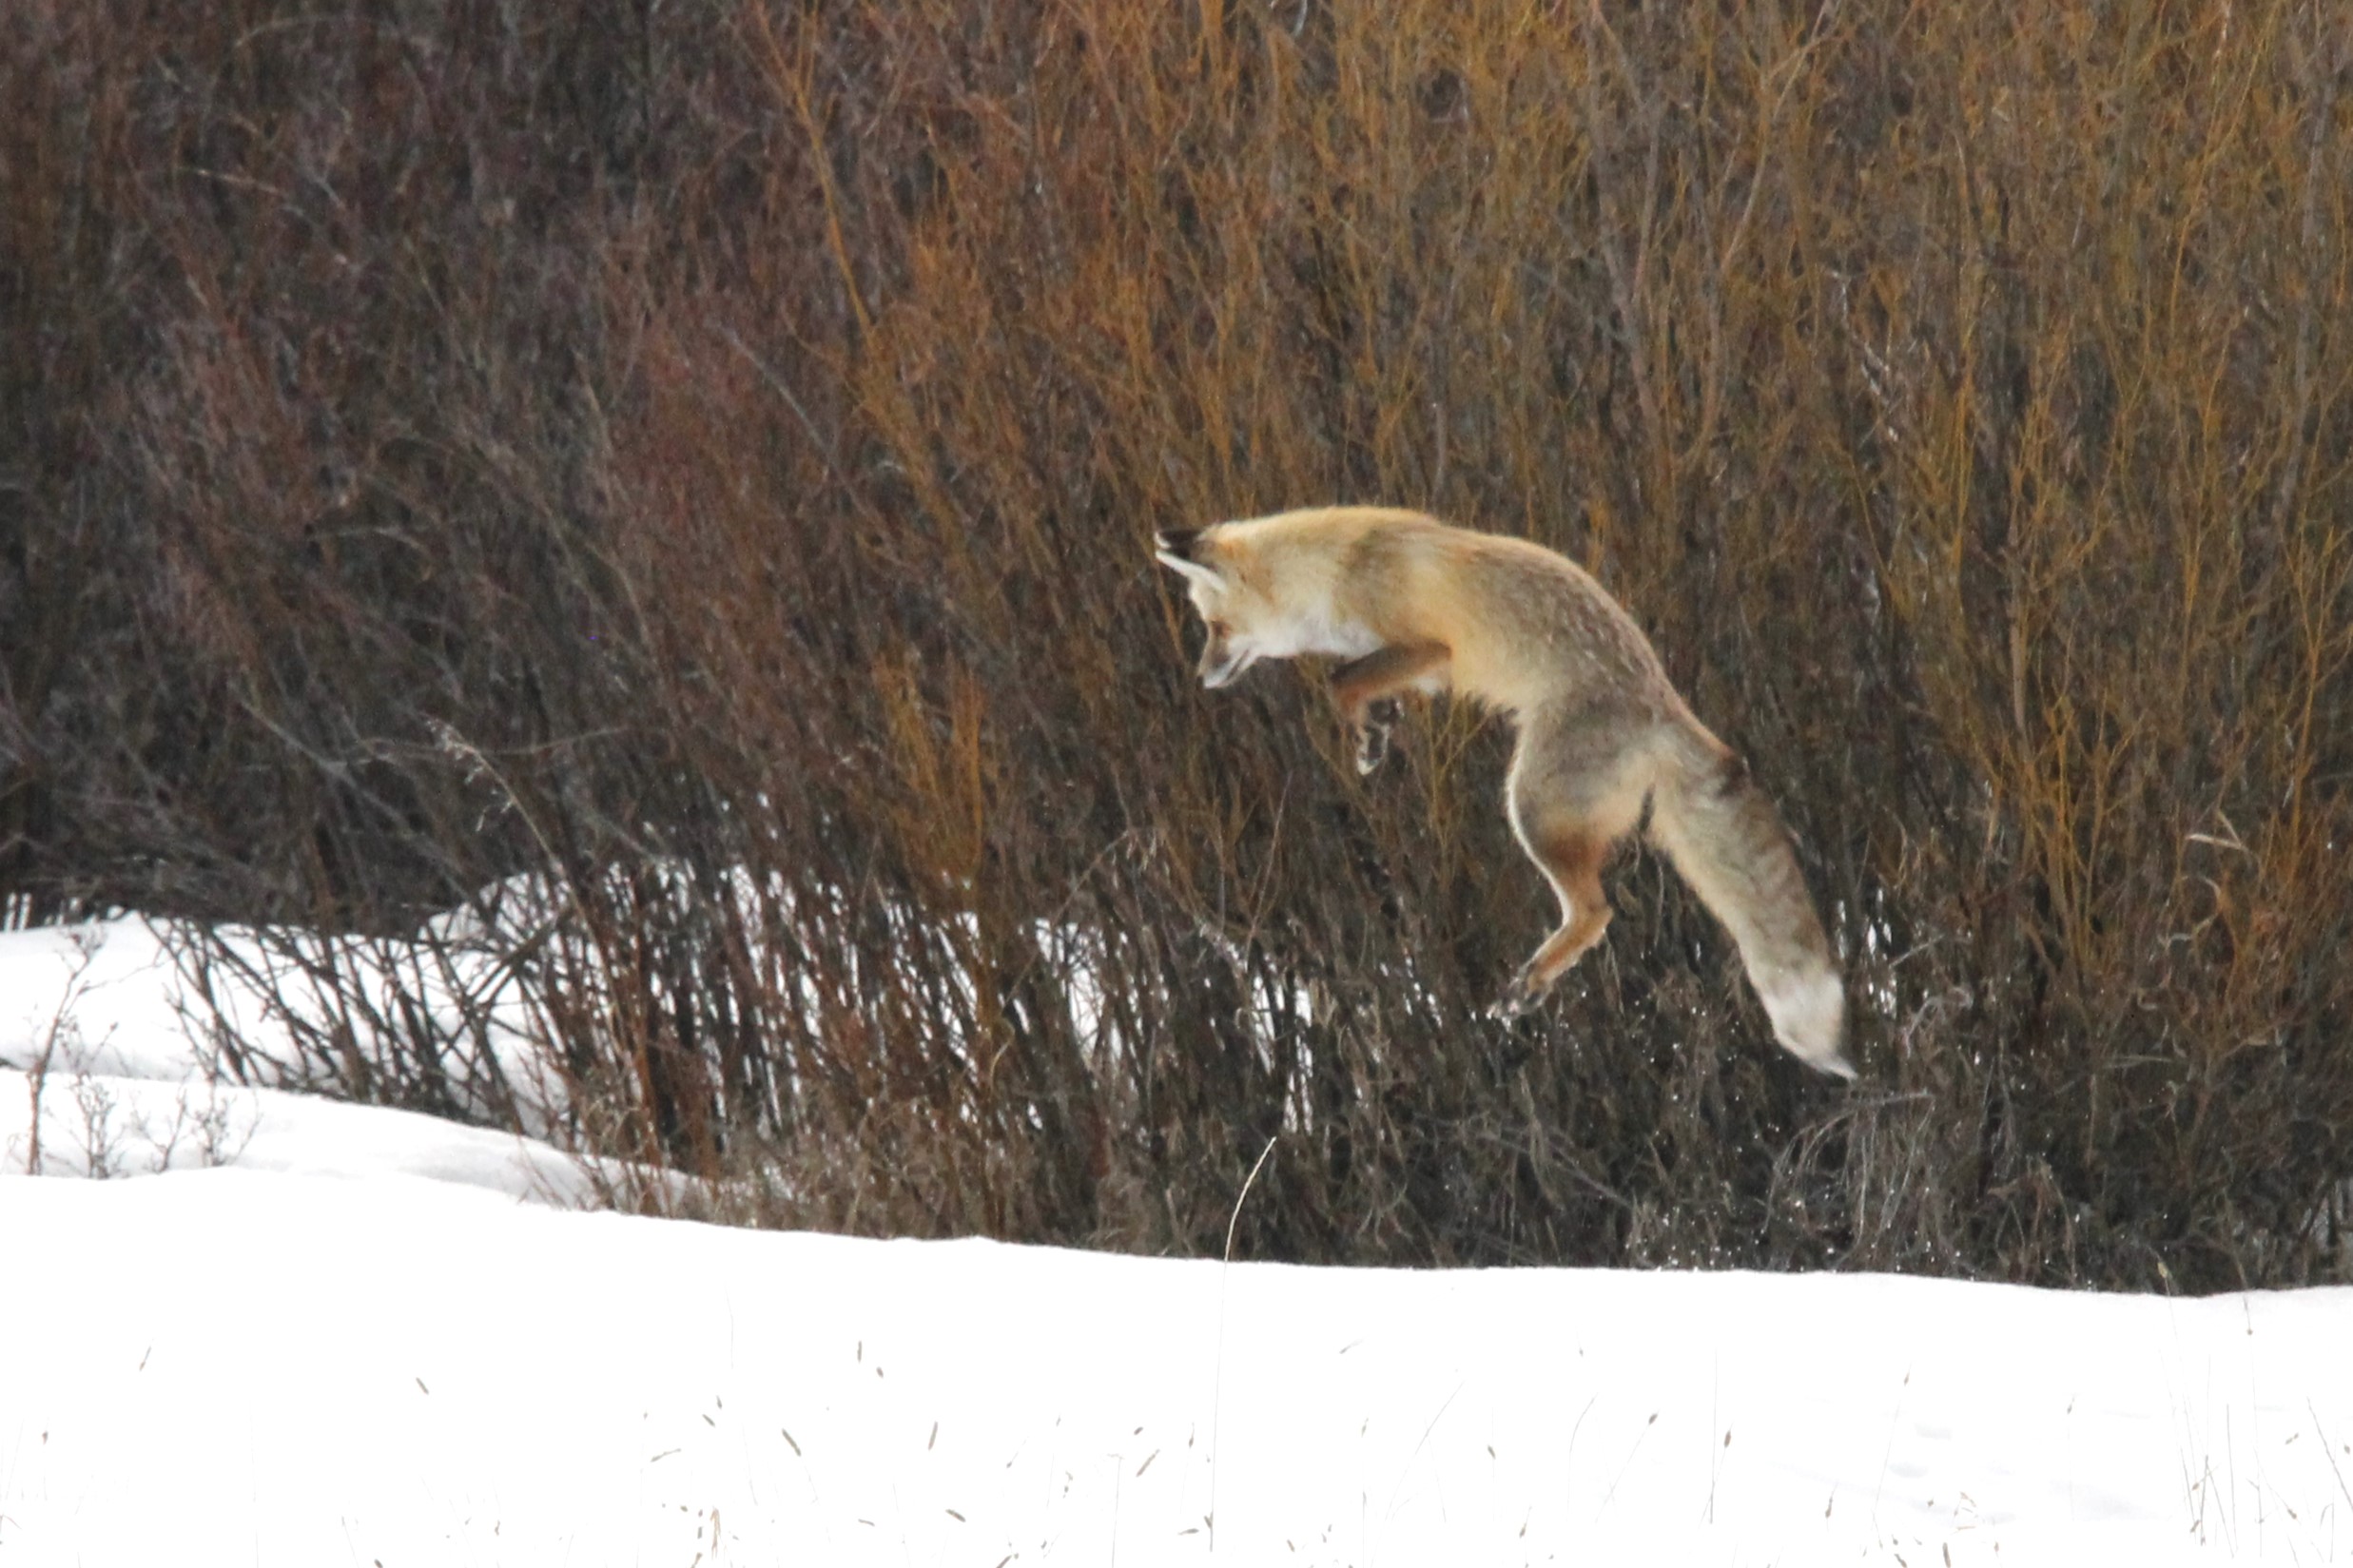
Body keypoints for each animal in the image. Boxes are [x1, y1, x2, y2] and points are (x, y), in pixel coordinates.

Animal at [1157, 503, 1854, 1081]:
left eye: (1215, 627)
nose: (1201, 676)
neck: (1338, 567)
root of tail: (1664, 707)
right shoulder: (1413, 665)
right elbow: (1359, 682)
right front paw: (1374, 734)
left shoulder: (1428, 646)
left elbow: (1339, 679)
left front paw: (1363, 729)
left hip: (1531, 807)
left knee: (1596, 911)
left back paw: (1531, 981)